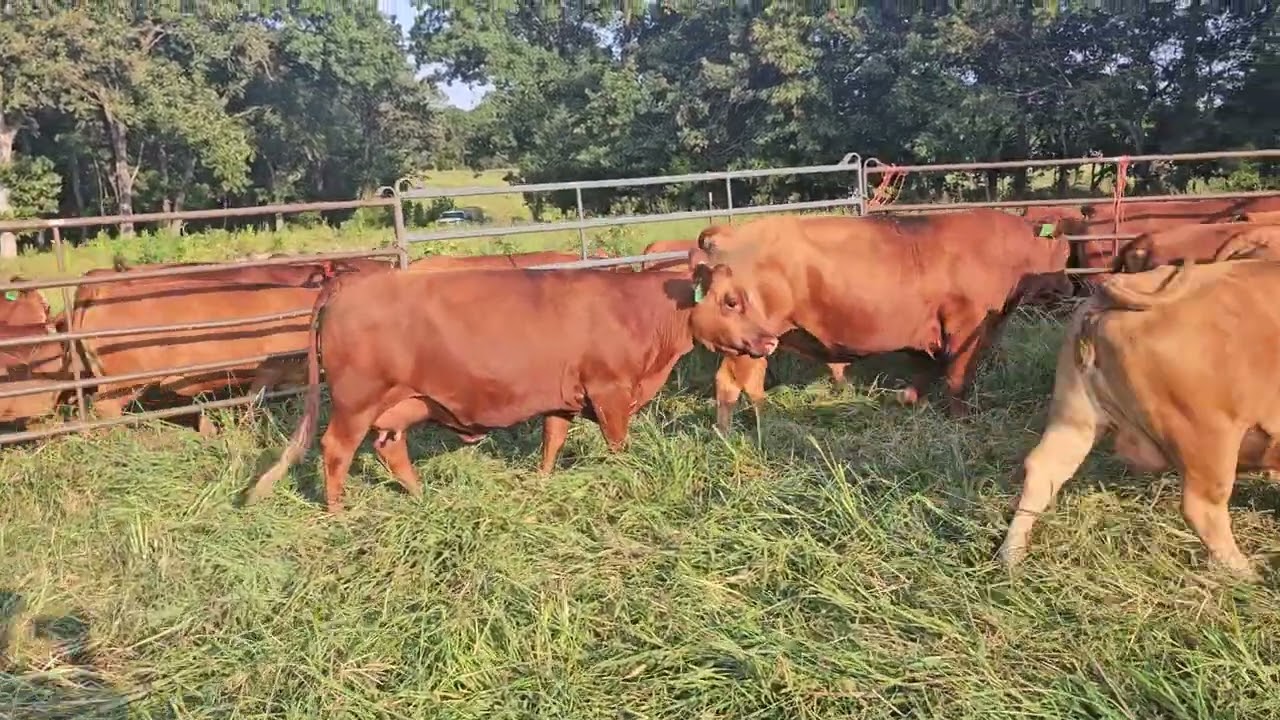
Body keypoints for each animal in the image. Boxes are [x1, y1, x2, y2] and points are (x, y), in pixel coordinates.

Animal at [242, 259, 780, 513]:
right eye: (731, 301)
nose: (770, 339)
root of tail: (351, 280)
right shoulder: (611, 392)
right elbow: (617, 446)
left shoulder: (564, 398)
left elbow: (552, 441)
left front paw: (542, 483)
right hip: (356, 400)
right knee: (336, 449)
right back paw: (339, 513)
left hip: (407, 402)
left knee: (389, 447)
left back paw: (420, 497)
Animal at [690, 210, 1072, 432]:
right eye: (1067, 252)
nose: (1071, 285)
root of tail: (732, 234)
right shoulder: (965, 325)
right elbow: (958, 378)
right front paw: (961, 420)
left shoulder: (928, 333)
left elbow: (926, 371)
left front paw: (909, 401)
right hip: (746, 344)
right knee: (733, 385)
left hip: (757, 344)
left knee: (743, 384)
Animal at [998, 258, 1280, 580]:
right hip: (1208, 438)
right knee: (1203, 506)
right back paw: (1244, 573)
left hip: (1074, 414)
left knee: (1044, 469)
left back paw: (1011, 556)